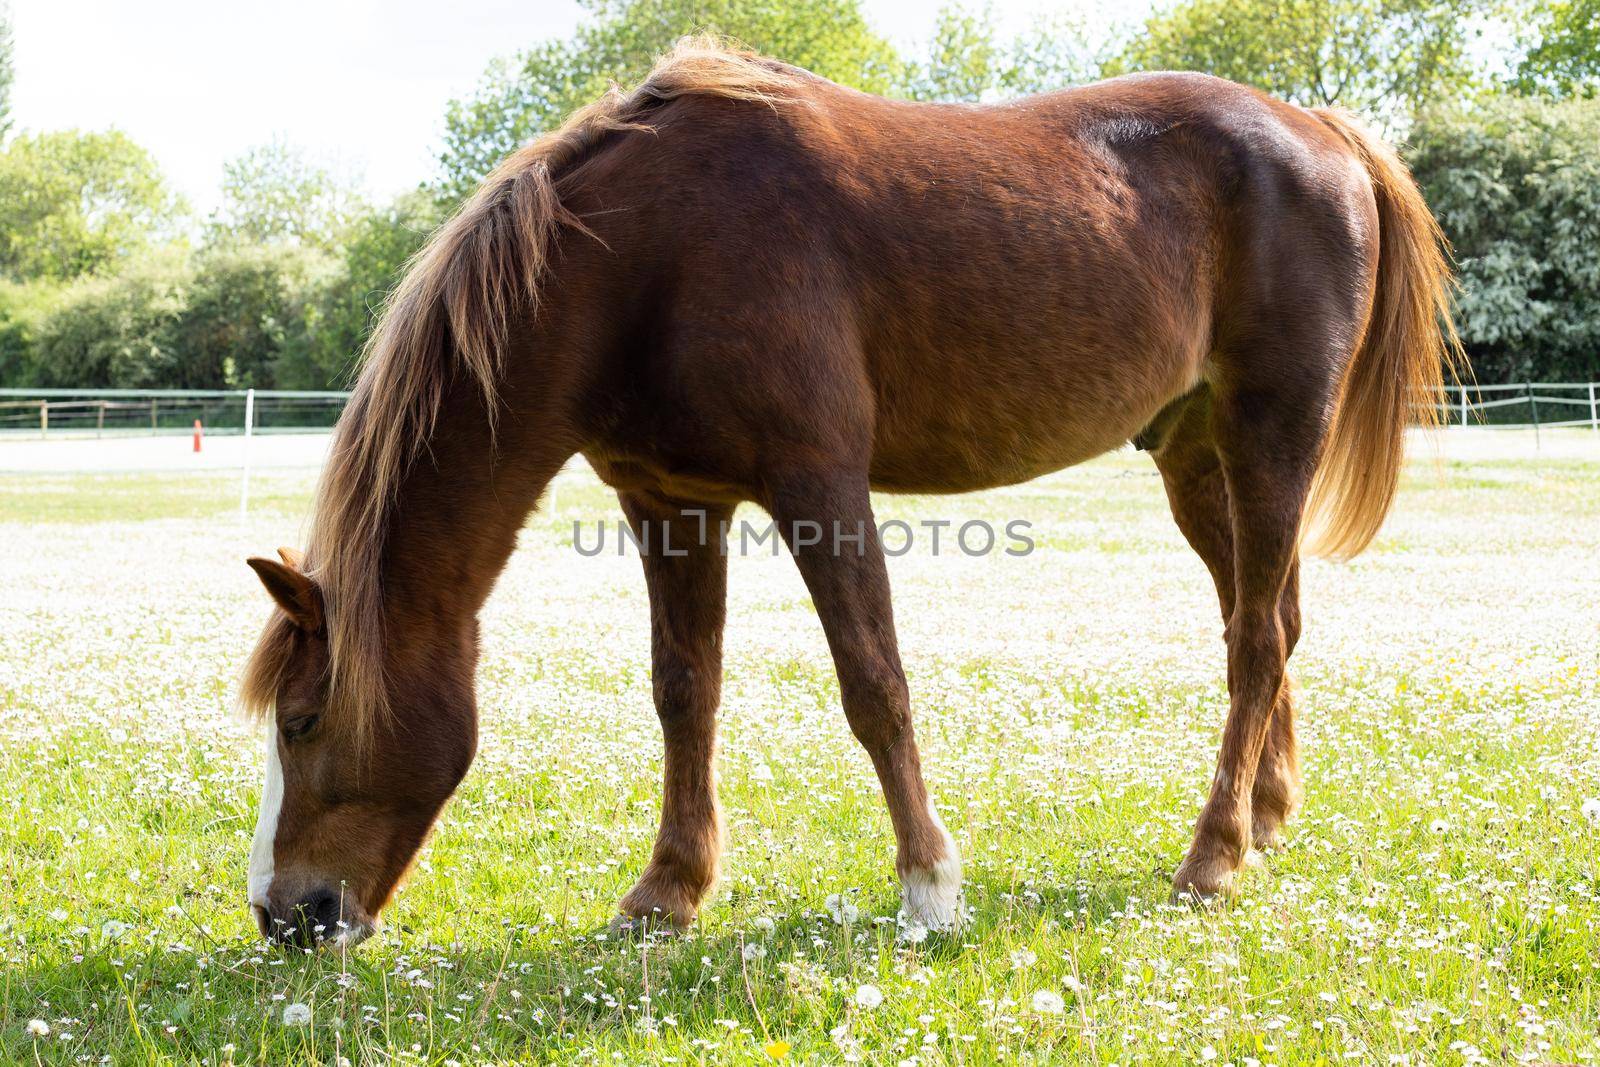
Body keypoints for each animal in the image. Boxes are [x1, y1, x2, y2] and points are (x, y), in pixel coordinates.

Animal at [240, 37, 1465, 947]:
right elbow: (683, 691)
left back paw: (1210, 856)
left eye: (303, 721)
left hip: (1273, 436)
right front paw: (668, 889)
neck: (643, 256)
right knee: (1269, 620)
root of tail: (1325, 132)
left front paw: (929, 885)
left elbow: (874, 682)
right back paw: (1263, 817)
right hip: (1194, 455)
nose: (284, 915)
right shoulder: (671, 502)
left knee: (1255, 638)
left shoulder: (818, 482)